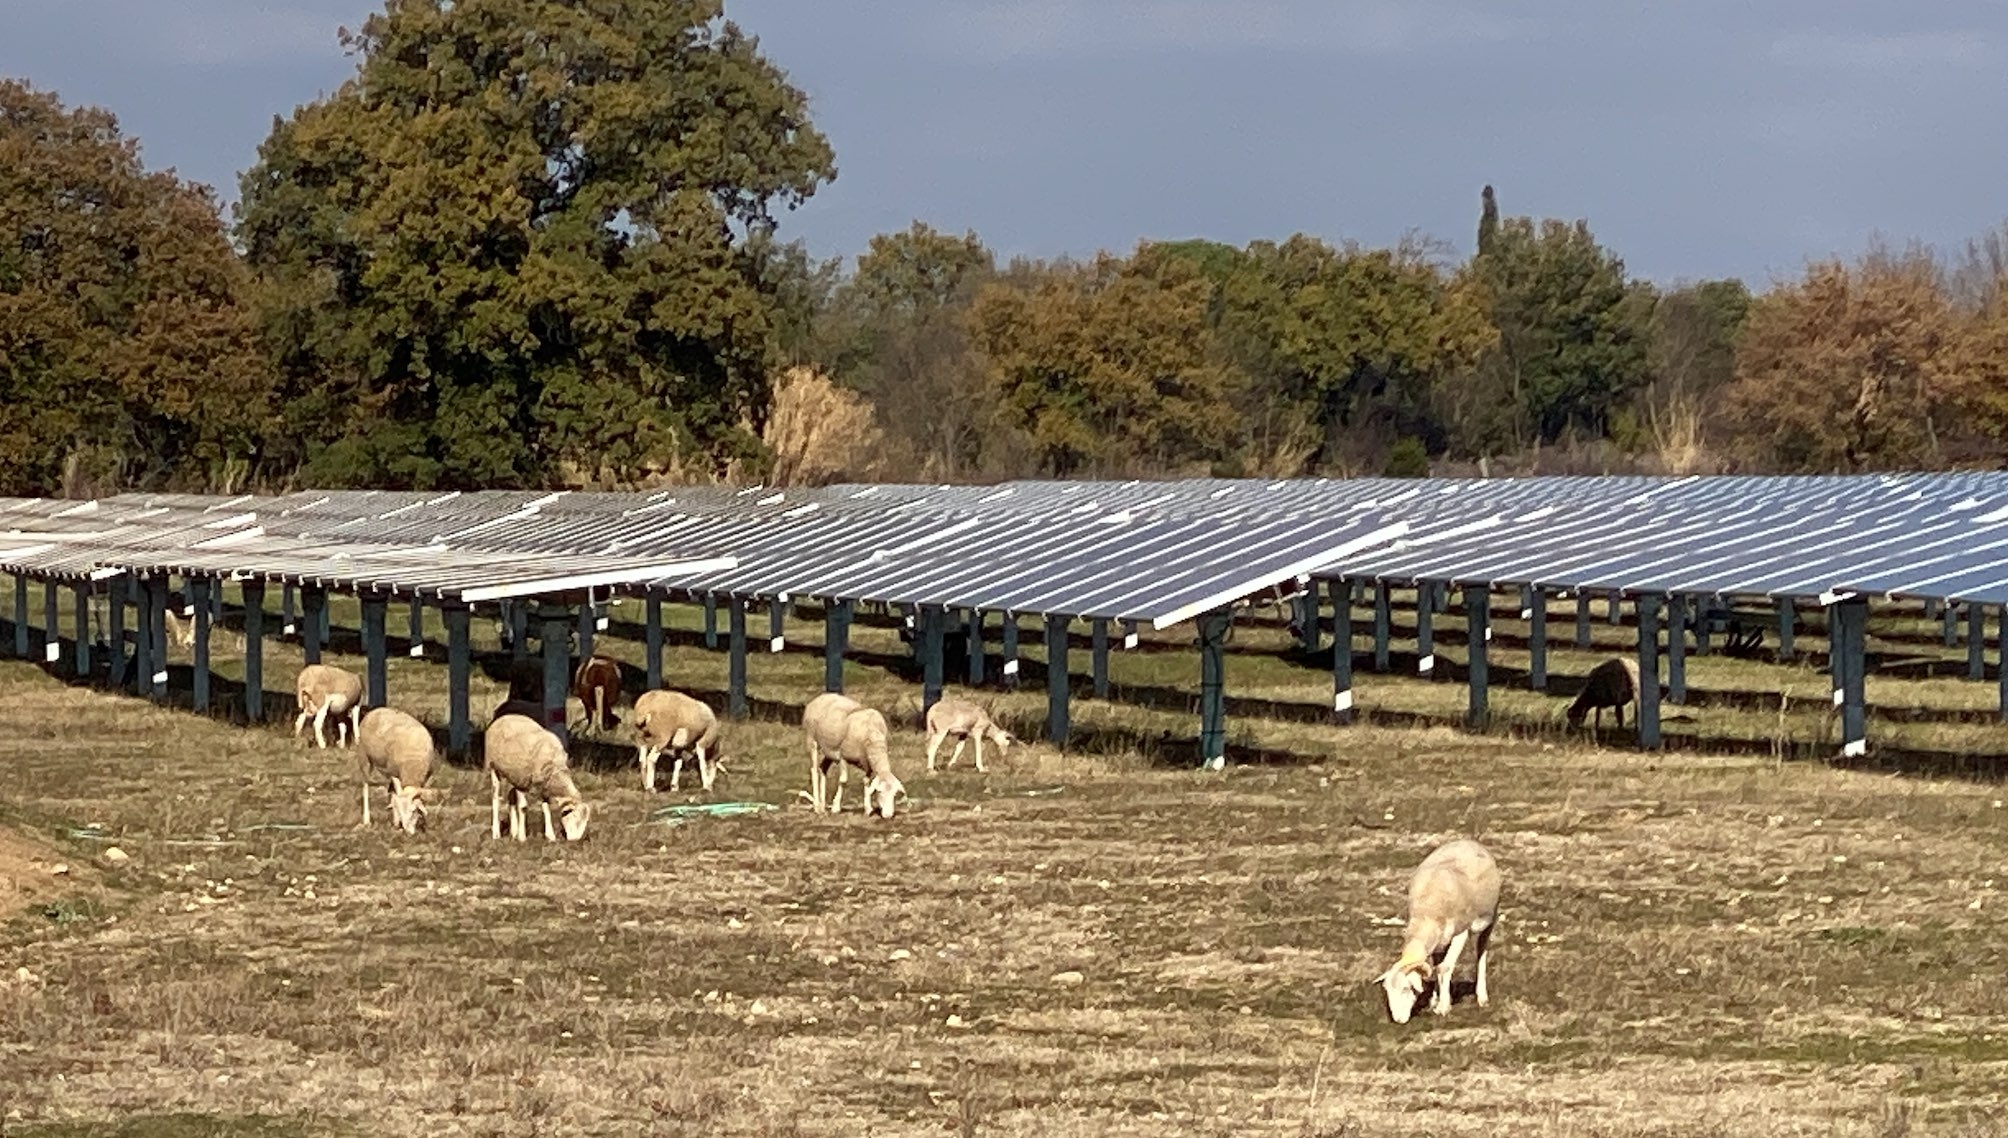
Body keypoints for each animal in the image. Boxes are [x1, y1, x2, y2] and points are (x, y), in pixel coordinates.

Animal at [1381, 838, 1510, 1023]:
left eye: (1406, 988)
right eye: (1388, 991)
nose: (1398, 1020)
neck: (1427, 913)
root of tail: (1468, 841)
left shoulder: (1460, 933)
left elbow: (1444, 968)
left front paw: (1443, 1007)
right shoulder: (1438, 941)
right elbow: (1437, 967)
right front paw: (1435, 1000)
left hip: (1490, 917)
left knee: (1481, 952)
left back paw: (1482, 996)